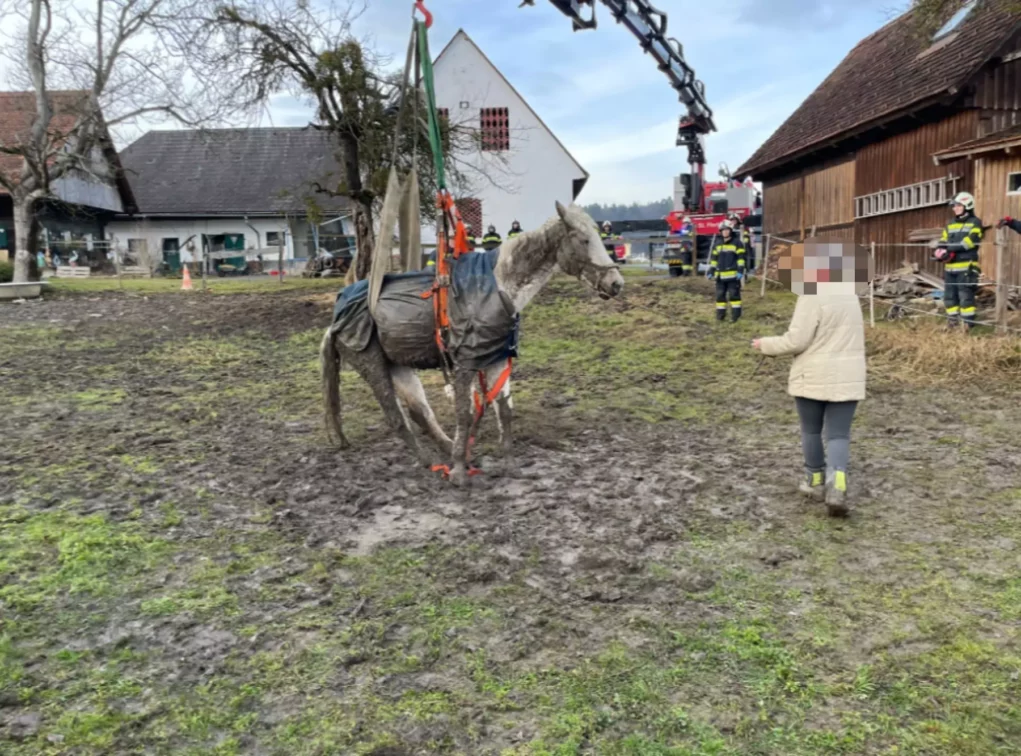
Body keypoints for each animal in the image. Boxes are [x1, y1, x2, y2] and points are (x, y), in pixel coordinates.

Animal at [319, 201, 624, 486]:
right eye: (583, 239)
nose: (616, 283)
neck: (496, 287)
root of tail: (335, 320)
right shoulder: (464, 364)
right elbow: (464, 414)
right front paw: (458, 472)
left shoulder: (498, 359)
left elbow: (505, 411)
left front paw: (509, 464)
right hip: (373, 366)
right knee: (396, 417)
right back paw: (430, 461)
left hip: (399, 366)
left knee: (420, 412)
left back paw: (449, 450)